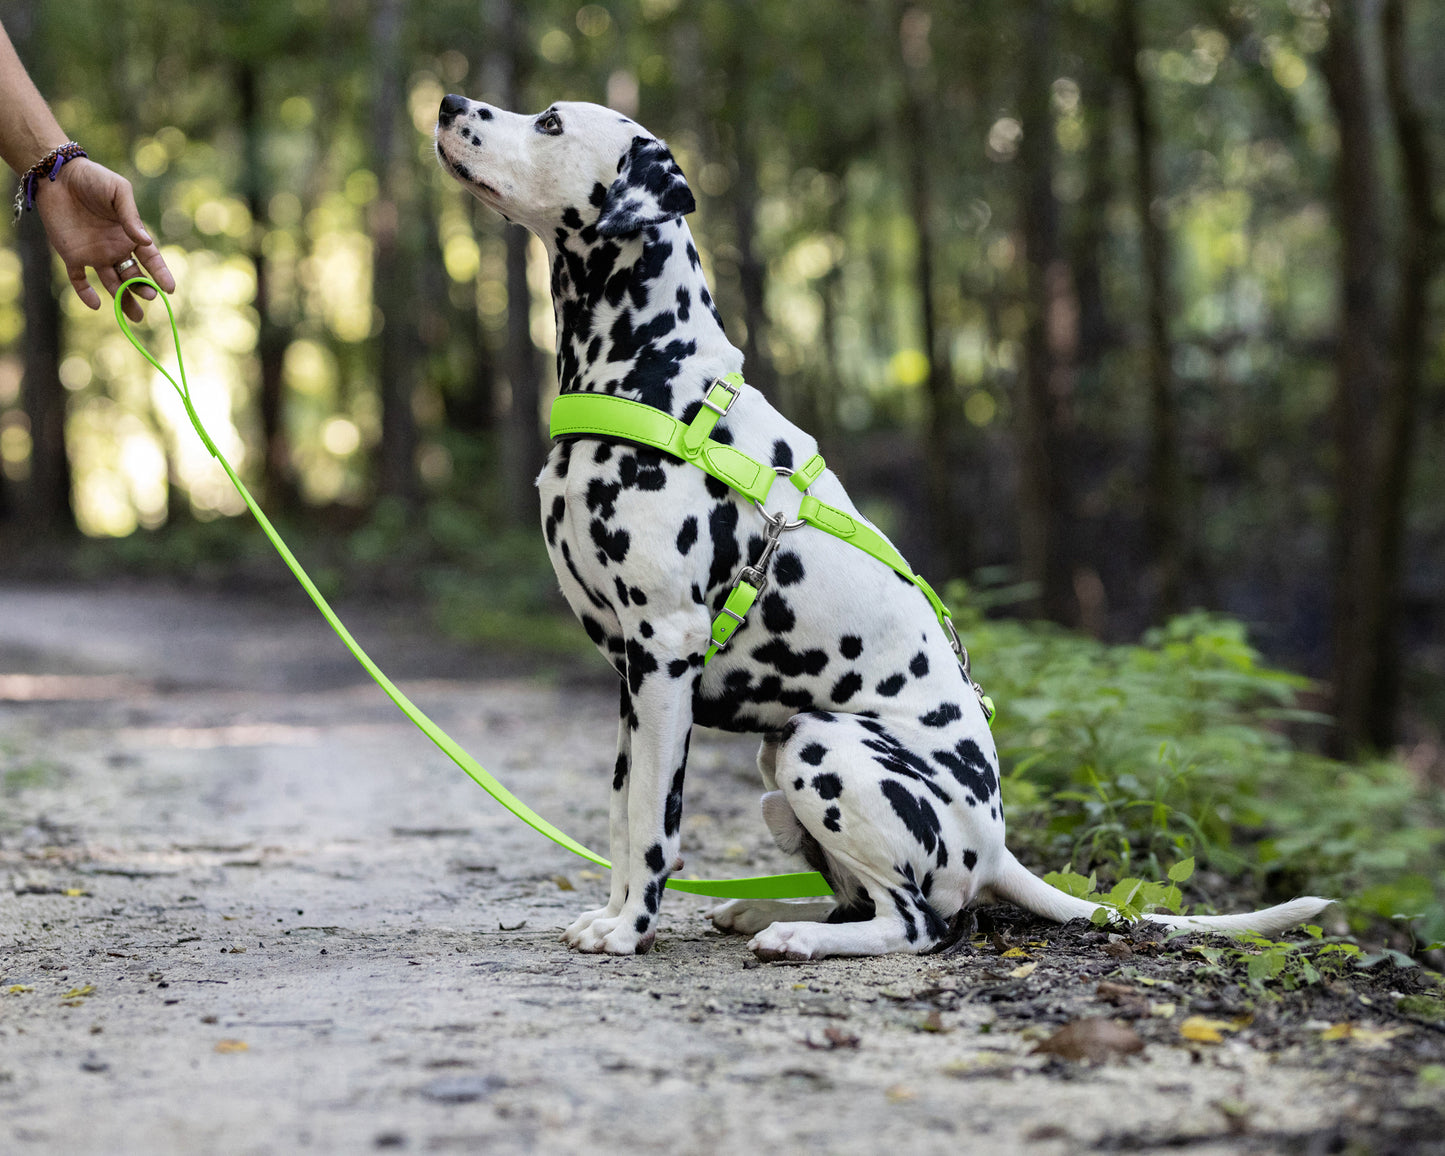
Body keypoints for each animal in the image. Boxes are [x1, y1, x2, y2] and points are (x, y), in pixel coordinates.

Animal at [430, 96, 1329, 959]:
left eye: (550, 123)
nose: (445, 103)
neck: (655, 375)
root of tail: (995, 847)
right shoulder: (631, 674)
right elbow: (622, 815)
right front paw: (614, 915)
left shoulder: (664, 651)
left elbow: (655, 821)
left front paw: (630, 932)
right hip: (779, 758)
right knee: (861, 898)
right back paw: (763, 914)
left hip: (821, 747)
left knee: (917, 924)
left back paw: (794, 936)